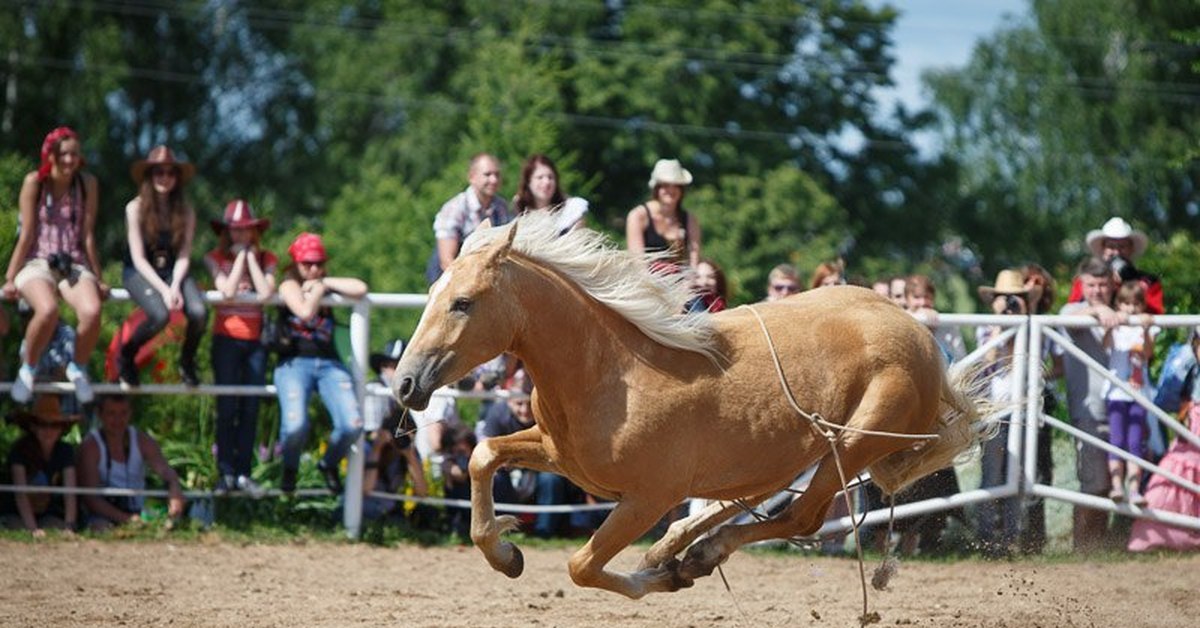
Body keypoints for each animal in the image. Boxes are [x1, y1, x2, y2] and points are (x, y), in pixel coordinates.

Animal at [393, 212, 984, 600]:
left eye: (463, 303)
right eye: (434, 293)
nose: (404, 383)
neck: (610, 371)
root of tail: (920, 335)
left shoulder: (648, 498)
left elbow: (582, 565)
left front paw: (658, 578)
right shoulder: (560, 456)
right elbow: (483, 455)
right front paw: (505, 552)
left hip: (855, 443)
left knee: (802, 515)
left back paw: (696, 556)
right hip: (796, 450)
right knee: (756, 497)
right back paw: (679, 549)